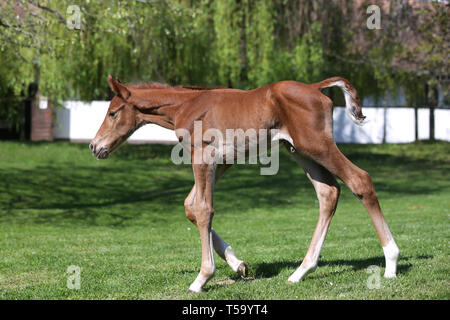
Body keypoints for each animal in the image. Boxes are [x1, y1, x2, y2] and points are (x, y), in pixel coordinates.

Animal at [89, 74, 400, 292]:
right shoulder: (223, 162)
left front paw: (202, 278)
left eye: (113, 113)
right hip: (298, 150)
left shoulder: (203, 156)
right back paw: (301, 271)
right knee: (328, 192)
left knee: (359, 180)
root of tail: (315, 87)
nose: (94, 146)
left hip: (317, 145)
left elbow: (203, 209)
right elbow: (191, 206)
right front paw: (238, 265)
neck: (187, 105)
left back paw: (391, 263)